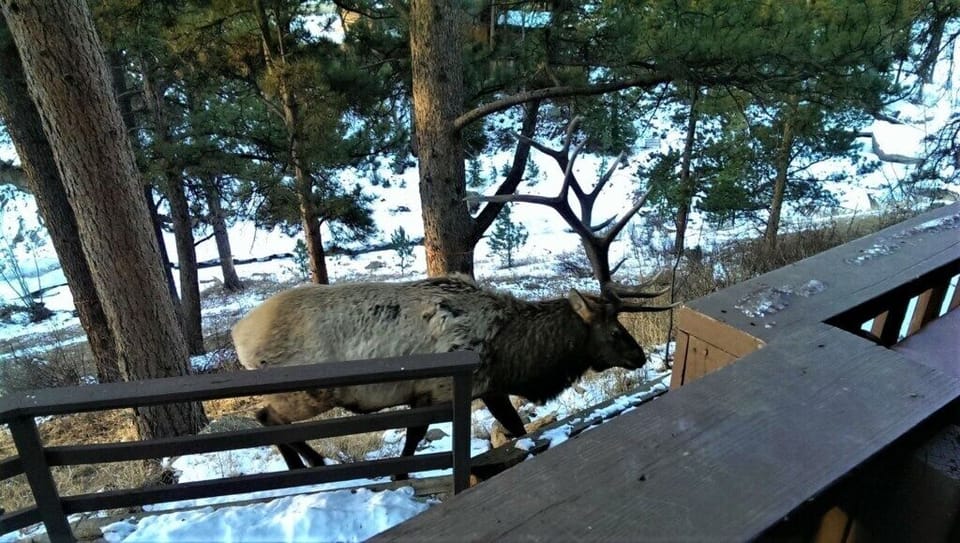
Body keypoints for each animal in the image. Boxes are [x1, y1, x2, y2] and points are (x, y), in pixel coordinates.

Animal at [231, 117, 675, 473]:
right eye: (614, 329)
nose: (640, 356)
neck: (509, 350)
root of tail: (238, 335)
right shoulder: (437, 389)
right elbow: (414, 442)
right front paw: (399, 475)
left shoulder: (488, 387)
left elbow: (514, 427)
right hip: (306, 390)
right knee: (266, 417)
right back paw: (314, 464)